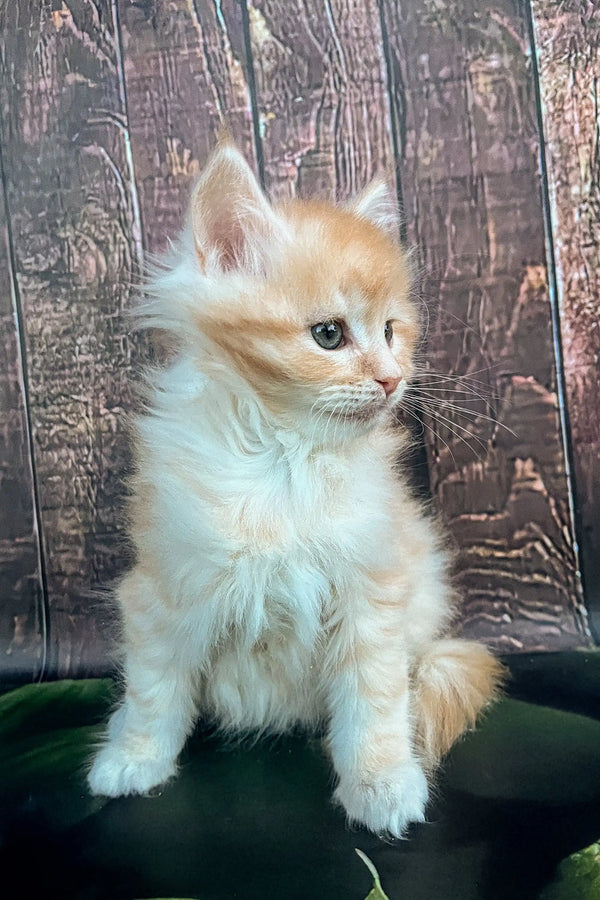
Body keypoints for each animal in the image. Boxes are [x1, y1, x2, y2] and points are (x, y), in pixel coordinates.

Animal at [88, 141, 502, 836]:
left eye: (391, 332)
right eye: (329, 335)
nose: (392, 380)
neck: (286, 461)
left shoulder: (372, 594)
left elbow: (374, 704)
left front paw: (381, 785)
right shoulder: (165, 591)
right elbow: (153, 692)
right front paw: (132, 761)